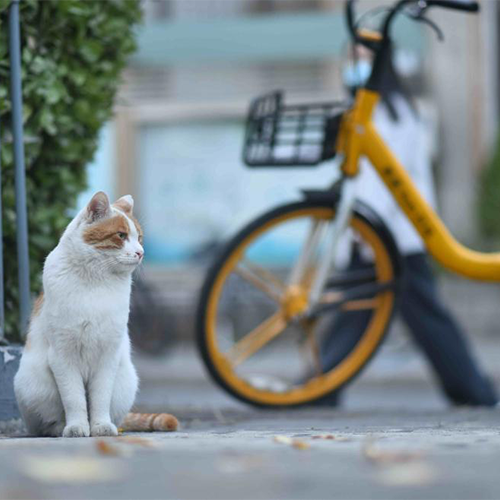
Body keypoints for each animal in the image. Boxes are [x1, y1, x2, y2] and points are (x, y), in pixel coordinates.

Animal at [14, 192, 178, 438]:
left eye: (139, 237)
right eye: (121, 235)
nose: (141, 253)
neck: (96, 280)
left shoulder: (108, 355)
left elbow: (100, 398)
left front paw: (101, 426)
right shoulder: (63, 355)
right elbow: (74, 399)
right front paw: (76, 427)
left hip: (125, 382)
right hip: (33, 385)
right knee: (46, 422)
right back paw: (60, 428)